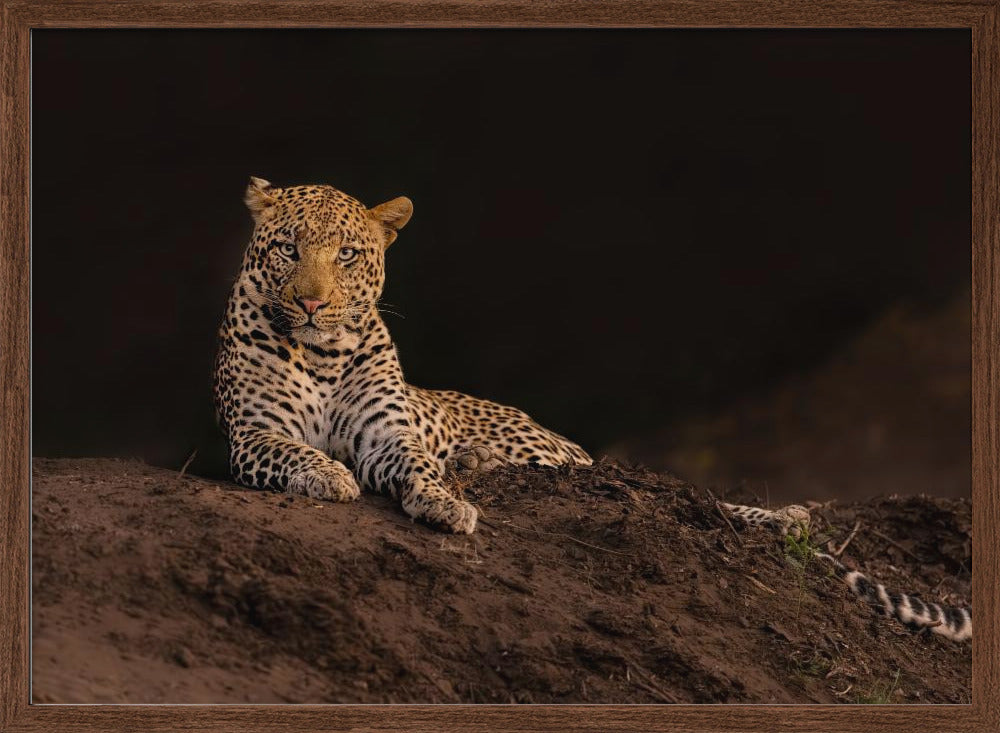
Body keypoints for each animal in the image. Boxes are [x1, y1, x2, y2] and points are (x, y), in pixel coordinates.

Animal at [213, 177, 590, 536]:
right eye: (288, 249)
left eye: (346, 254)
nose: (311, 303)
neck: (324, 356)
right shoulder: (255, 432)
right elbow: (293, 450)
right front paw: (328, 474)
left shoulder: (385, 434)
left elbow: (417, 463)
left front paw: (445, 503)